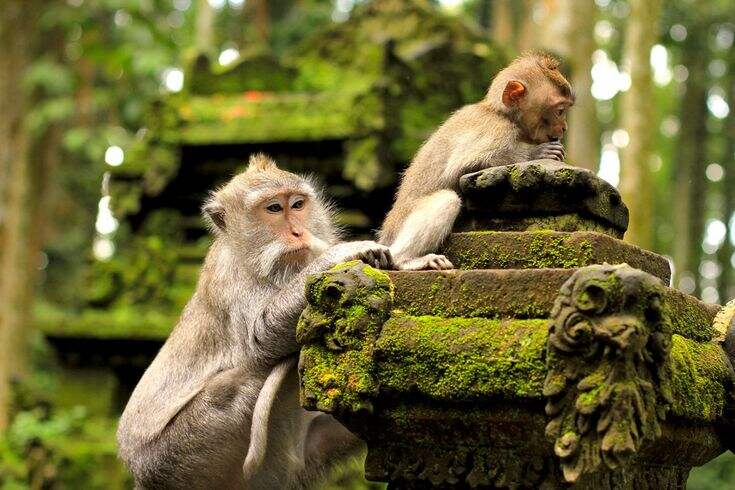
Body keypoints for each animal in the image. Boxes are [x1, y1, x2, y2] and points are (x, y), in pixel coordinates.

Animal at [117, 153, 393, 489]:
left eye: (297, 205)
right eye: (273, 209)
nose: (298, 232)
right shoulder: (229, 277)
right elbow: (261, 337)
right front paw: (342, 253)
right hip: (177, 457)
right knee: (239, 381)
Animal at [379, 52, 574, 270]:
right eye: (560, 110)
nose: (564, 127)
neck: (500, 113)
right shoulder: (497, 130)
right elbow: (461, 166)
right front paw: (537, 152)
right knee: (446, 199)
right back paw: (405, 260)